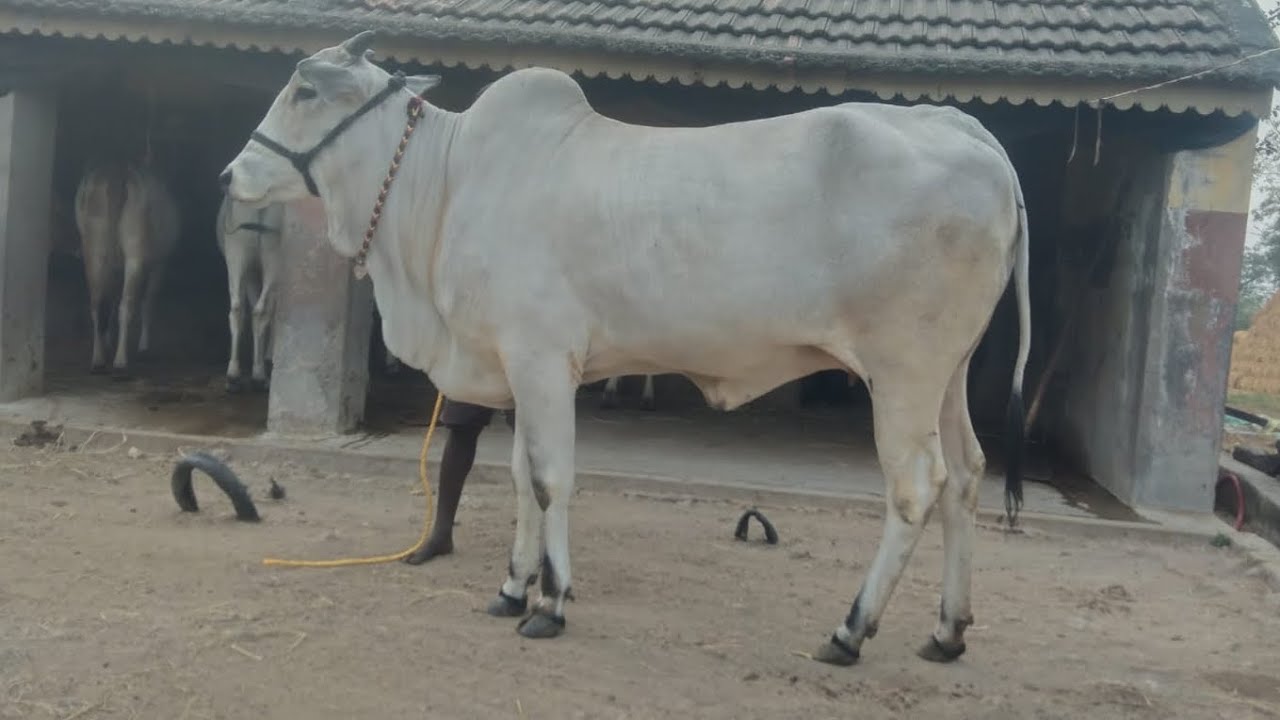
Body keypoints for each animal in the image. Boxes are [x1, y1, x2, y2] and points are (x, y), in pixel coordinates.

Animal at [74, 163, 179, 378]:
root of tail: (115, 172)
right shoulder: (159, 265)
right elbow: (147, 303)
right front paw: (144, 348)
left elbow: (110, 300)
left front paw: (107, 340)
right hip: (134, 257)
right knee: (127, 306)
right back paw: (120, 362)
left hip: (94, 253)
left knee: (97, 304)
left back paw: (98, 359)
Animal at [216, 194, 284, 393]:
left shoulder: (251, 272)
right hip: (268, 255)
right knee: (258, 310)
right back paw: (255, 374)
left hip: (239, 253)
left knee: (241, 309)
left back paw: (238, 375)